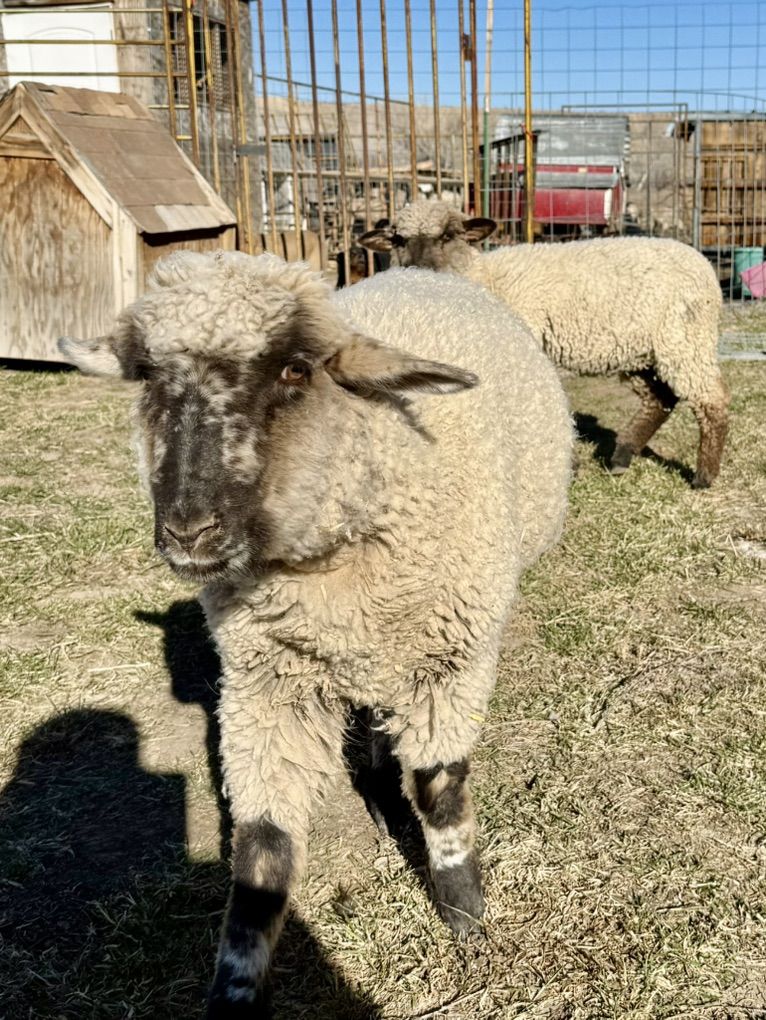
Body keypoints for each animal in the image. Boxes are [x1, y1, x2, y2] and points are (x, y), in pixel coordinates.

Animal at [58, 251, 572, 1017]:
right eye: (147, 374)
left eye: (296, 369)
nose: (187, 532)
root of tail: (419, 268)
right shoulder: (267, 682)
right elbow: (264, 846)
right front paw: (236, 987)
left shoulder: (452, 661)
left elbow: (441, 788)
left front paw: (466, 918)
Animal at [360, 200, 730, 489]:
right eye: (398, 239)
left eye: (448, 236)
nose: (415, 269)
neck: (486, 281)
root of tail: (700, 260)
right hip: (642, 352)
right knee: (660, 399)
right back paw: (621, 457)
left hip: (684, 337)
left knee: (711, 401)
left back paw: (703, 477)